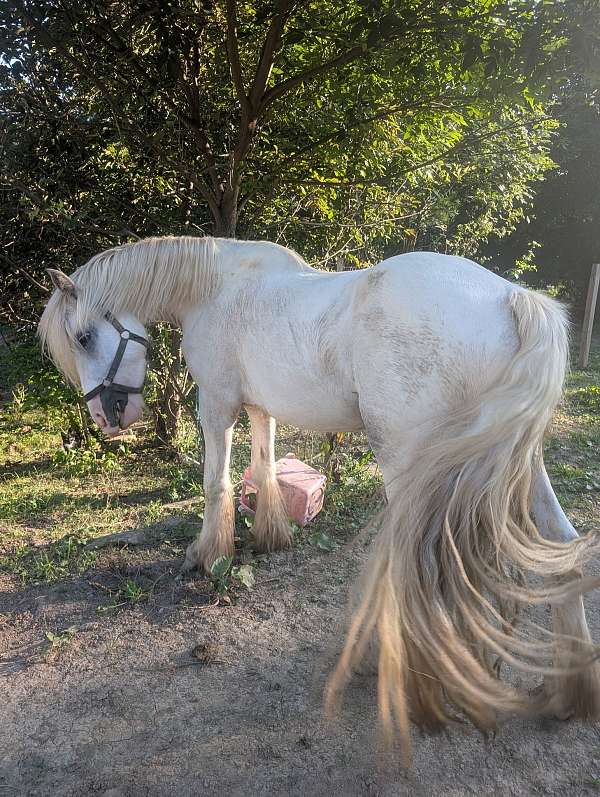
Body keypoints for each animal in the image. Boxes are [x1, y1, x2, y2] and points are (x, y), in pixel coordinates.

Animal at [38, 235, 600, 757]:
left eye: (84, 336)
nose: (106, 419)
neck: (217, 287)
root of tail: (511, 298)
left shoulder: (216, 404)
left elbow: (216, 483)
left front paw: (205, 555)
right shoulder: (259, 406)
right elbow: (264, 468)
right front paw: (270, 537)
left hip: (413, 463)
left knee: (422, 567)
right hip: (518, 462)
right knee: (561, 548)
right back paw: (565, 692)